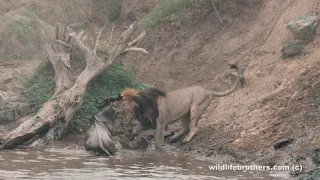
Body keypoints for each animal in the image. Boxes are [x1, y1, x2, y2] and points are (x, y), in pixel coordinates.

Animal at [109, 64, 240, 148]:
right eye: (120, 98)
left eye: (124, 104)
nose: (113, 104)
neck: (140, 108)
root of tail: (208, 90)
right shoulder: (147, 122)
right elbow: (135, 129)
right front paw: (128, 138)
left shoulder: (160, 123)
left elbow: (157, 142)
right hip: (185, 114)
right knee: (185, 128)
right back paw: (173, 138)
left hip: (195, 108)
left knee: (193, 127)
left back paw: (185, 140)